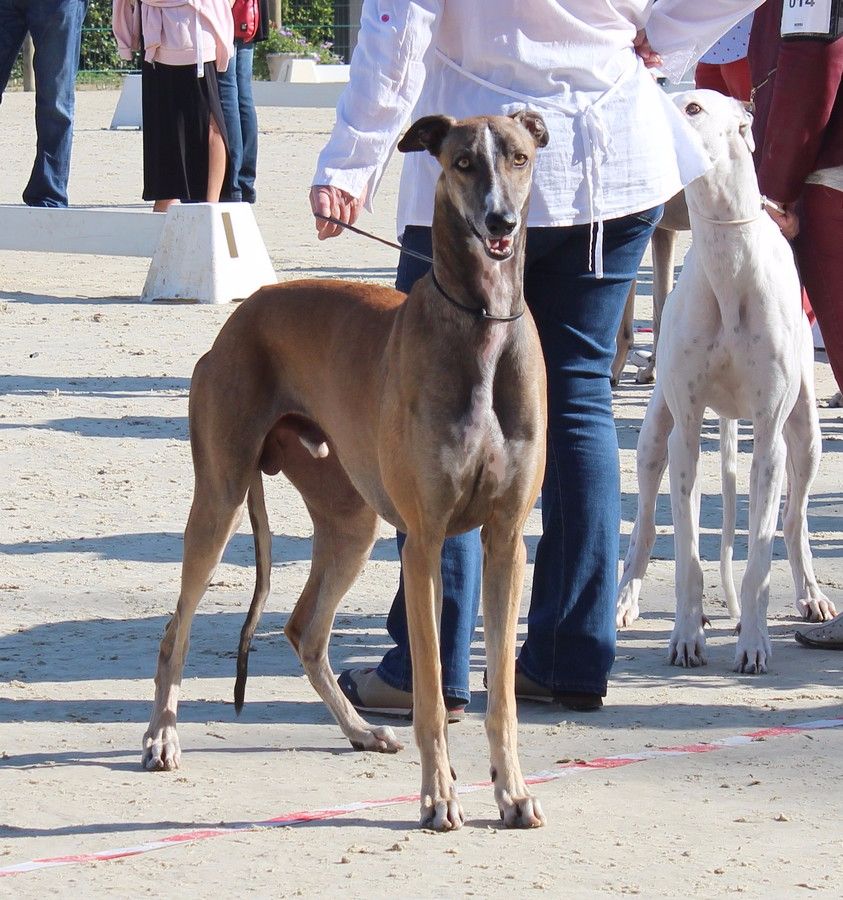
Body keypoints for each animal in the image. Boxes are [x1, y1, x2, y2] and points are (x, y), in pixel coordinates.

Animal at [142, 112, 552, 828]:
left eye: (520, 157)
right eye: (463, 161)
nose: (499, 222)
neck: (482, 324)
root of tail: (242, 314)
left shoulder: (504, 541)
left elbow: (501, 694)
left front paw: (512, 792)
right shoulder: (424, 542)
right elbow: (429, 698)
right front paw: (439, 797)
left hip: (350, 521)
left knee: (304, 629)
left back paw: (359, 729)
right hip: (221, 497)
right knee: (177, 627)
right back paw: (163, 737)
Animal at [612, 91, 836, 672]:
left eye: (692, 107)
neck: (728, 267)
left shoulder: (769, 436)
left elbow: (758, 553)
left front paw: (753, 640)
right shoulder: (687, 431)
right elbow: (687, 551)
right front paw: (687, 635)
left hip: (806, 435)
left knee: (795, 520)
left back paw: (810, 594)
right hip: (654, 437)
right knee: (646, 522)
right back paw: (624, 599)